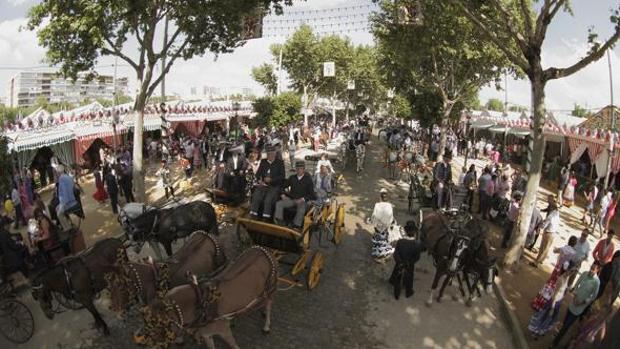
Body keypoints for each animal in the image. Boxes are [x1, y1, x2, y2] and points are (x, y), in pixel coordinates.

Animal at [140, 245, 278, 348]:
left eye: (155, 322)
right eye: (145, 318)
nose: (139, 339)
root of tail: (266, 250)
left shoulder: (223, 329)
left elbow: (234, 345)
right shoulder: (207, 333)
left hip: (271, 288)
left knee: (269, 304)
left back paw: (266, 325)